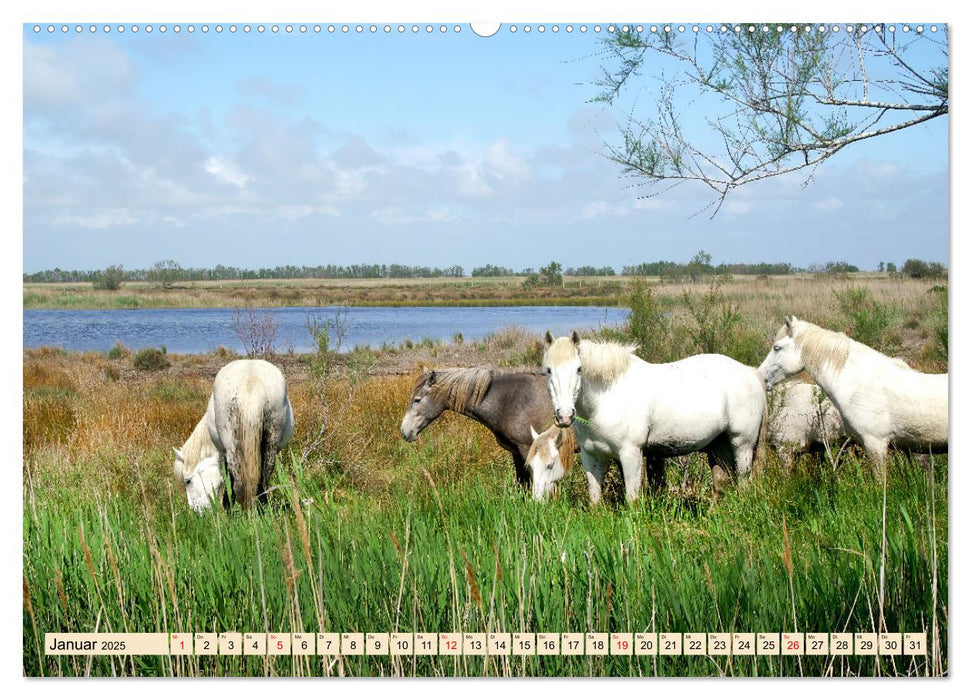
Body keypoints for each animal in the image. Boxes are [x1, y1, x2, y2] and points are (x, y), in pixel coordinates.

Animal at [207, 360, 294, 508]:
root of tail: (251, 381)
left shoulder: (223, 453)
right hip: (270, 444)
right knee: (262, 482)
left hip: (232, 446)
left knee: (240, 485)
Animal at [544, 332, 764, 504]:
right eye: (548, 370)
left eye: (579, 369)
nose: (564, 415)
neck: (606, 399)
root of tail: (752, 373)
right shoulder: (592, 456)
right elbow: (595, 498)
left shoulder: (631, 454)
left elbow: (632, 499)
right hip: (719, 444)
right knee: (721, 481)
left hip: (742, 445)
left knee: (743, 481)